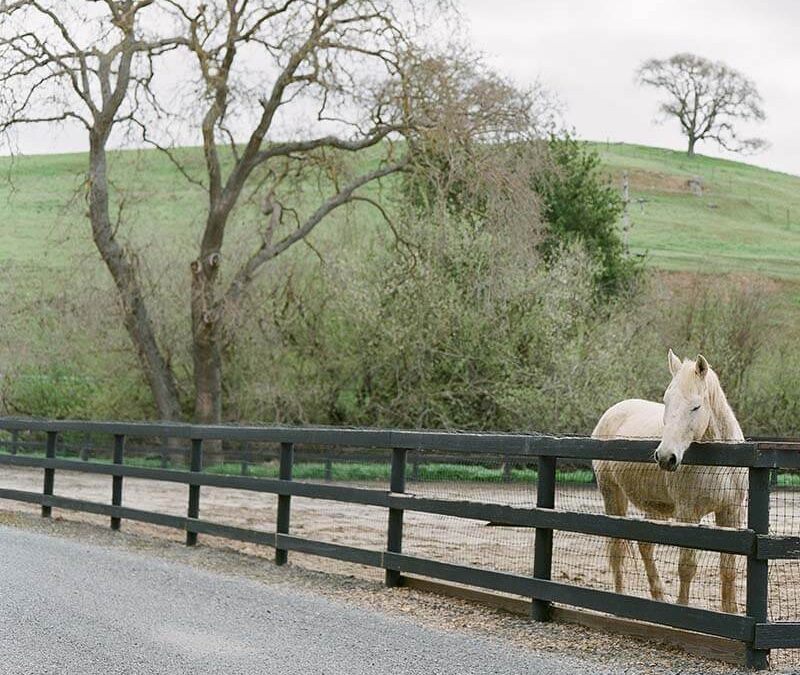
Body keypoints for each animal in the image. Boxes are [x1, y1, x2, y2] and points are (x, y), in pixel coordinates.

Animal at [592, 352, 748, 616]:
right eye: (666, 401)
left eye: (696, 406)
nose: (666, 457)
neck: (721, 461)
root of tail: (613, 411)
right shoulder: (687, 514)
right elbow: (686, 566)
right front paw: (683, 609)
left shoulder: (731, 512)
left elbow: (728, 568)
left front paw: (731, 613)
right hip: (612, 496)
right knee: (617, 550)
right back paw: (619, 599)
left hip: (655, 507)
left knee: (645, 546)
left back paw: (658, 597)